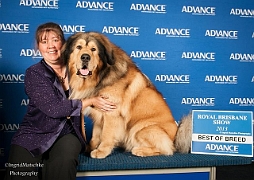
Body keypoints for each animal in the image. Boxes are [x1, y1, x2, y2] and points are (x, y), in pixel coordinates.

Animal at [62, 31, 190, 158]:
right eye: (78, 47)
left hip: (140, 129)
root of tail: (176, 137)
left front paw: (102, 151)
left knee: (167, 149)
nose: (85, 57)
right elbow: (96, 135)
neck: (101, 76)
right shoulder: (99, 114)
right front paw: (90, 147)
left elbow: (106, 135)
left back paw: (140, 150)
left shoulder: (111, 113)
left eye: (93, 49)